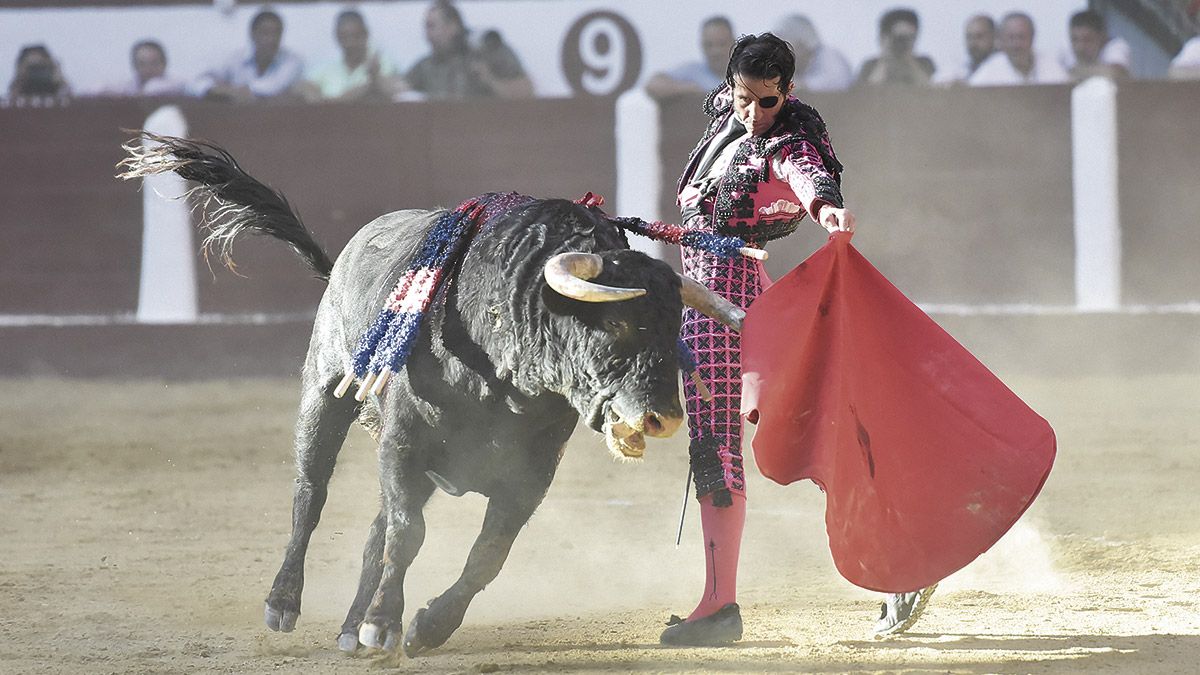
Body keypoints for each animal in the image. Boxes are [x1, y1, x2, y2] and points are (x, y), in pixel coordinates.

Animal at [119, 133, 739, 653]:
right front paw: (384, 624)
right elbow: (408, 533)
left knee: (375, 530)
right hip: (324, 393)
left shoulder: (530, 473)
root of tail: (347, 254)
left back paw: (350, 630)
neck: (503, 372)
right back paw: (285, 604)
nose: (663, 417)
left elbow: (486, 553)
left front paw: (423, 627)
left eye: (674, 327)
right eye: (615, 322)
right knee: (310, 495)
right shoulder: (405, 442)